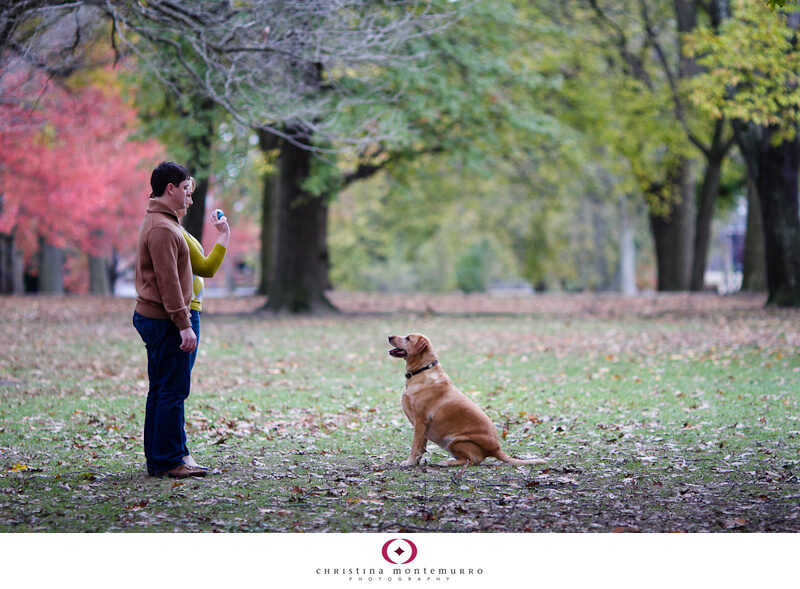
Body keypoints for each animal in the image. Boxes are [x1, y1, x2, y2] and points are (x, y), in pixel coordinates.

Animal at [386, 336, 544, 468]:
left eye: (407, 338)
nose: (389, 336)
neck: (423, 370)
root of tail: (496, 449)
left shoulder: (420, 421)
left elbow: (415, 446)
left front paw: (409, 462)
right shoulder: (422, 427)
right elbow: (421, 447)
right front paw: (416, 461)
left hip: (456, 441)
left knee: (470, 461)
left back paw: (447, 462)